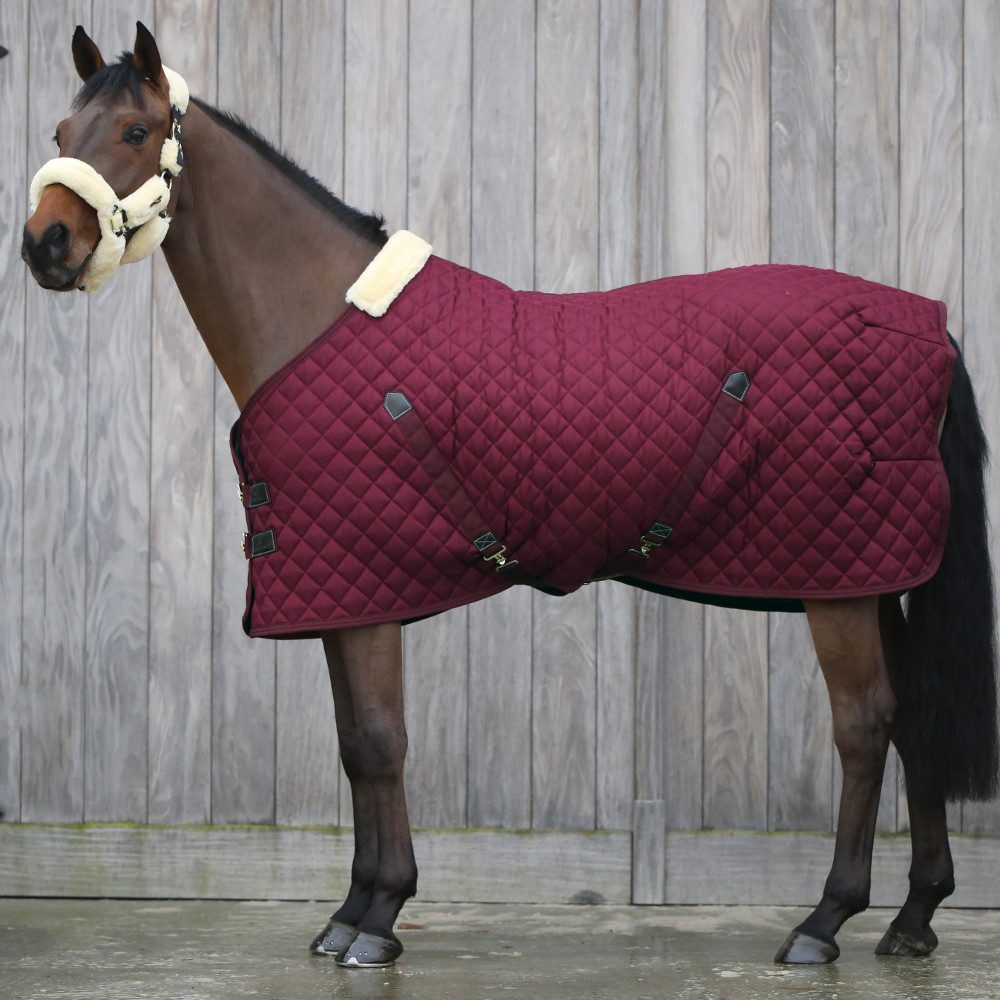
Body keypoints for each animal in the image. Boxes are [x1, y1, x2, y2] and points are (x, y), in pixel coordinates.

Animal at [21, 23, 998, 969]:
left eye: (136, 132)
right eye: (61, 134)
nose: (45, 246)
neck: (318, 318)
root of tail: (924, 322)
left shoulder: (369, 592)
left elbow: (380, 741)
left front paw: (380, 919)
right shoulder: (338, 592)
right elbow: (353, 745)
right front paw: (350, 912)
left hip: (840, 585)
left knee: (866, 726)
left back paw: (824, 923)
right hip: (874, 576)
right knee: (915, 719)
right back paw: (913, 919)